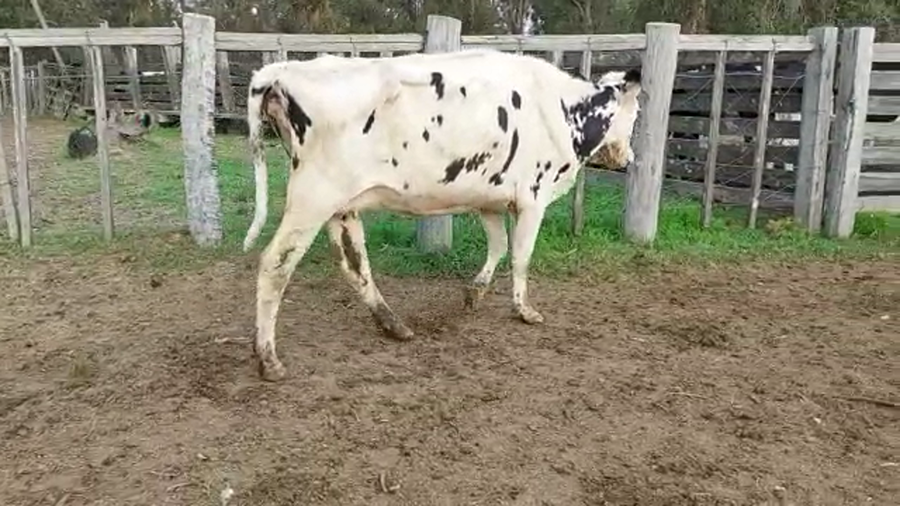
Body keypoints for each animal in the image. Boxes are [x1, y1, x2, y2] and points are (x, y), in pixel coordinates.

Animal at [242, 49, 642, 381]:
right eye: (636, 113)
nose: (630, 158)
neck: (563, 109)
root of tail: (281, 71)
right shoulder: (533, 197)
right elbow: (521, 256)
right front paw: (525, 311)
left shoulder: (489, 199)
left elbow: (498, 245)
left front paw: (474, 293)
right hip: (313, 196)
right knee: (275, 264)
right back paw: (269, 359)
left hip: (342, 206)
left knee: (355, 265)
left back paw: (394, 326)